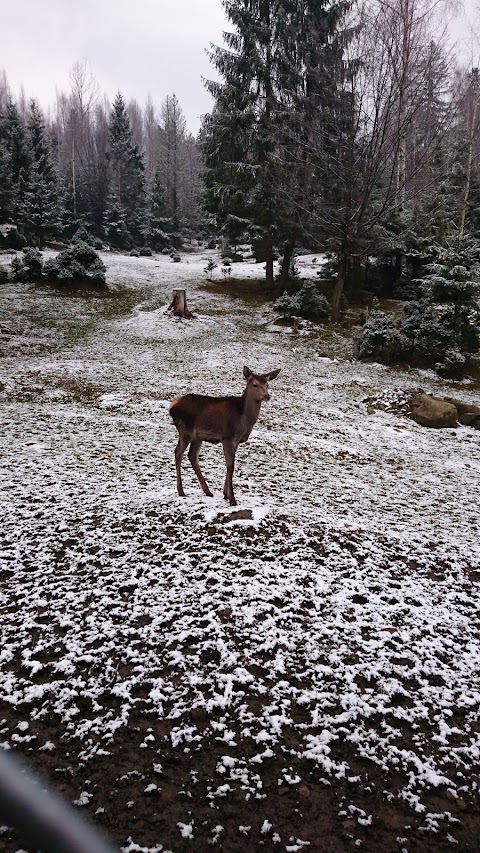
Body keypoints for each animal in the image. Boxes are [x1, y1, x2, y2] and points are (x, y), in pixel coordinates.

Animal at [170, 366, 280, 506]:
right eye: (255, 384)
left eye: (267, 384)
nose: (267, 396)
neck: (243, 419)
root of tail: (171, 405)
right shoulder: (227, 437)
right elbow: (230, 466)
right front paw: (232, 499)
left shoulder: (236, 441)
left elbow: (231, 464)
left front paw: (225, 494)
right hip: (185, 430)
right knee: (178, 452)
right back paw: (181, 491)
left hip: (197, 436)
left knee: (192, 455)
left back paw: (207, 491)